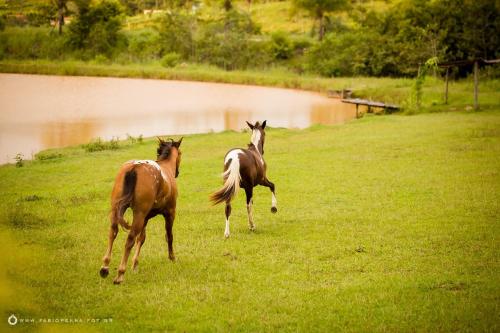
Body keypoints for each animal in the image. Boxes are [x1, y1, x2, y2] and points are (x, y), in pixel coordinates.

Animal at [98, 137, 183, 282]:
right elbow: (169, 236)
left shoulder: (146, 217)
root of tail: (134, 168)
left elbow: (141, 238)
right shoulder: (170, 213)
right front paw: (172, 257)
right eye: (181, 154)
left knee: (113, 232)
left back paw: (105, 266)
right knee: (130, 238)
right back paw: (120, 273)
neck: (165, 167)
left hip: (117, 209)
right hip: (139, 214)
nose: (177, 173)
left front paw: (135, 264)